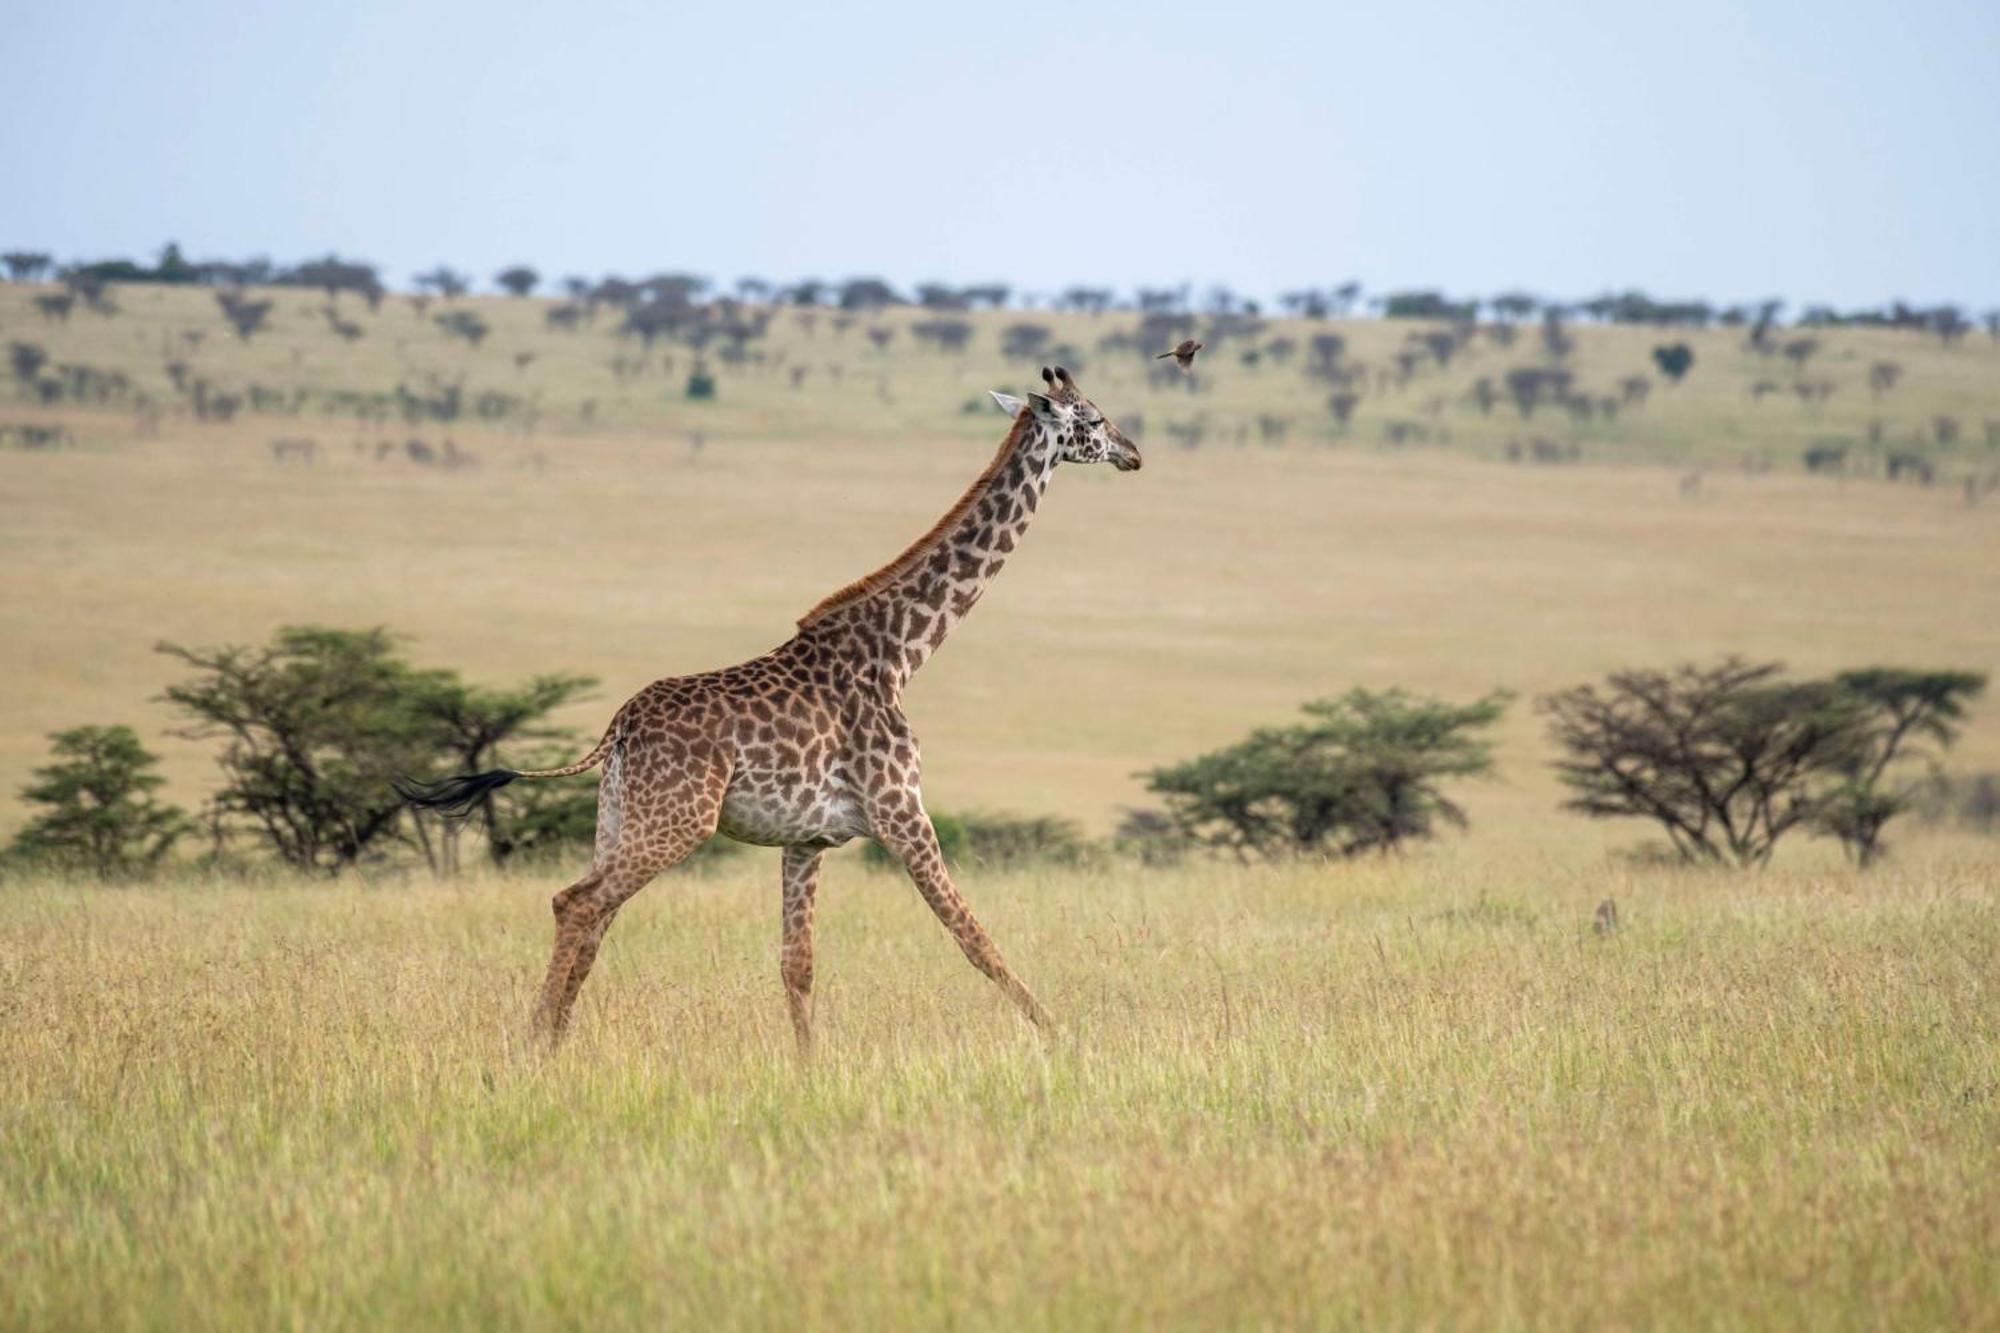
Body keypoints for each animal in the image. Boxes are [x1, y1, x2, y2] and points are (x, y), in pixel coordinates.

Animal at [402, 364, 1144, 1048]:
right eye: (1092, 418)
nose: (1134, 452)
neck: (901, 652)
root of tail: (616, 729)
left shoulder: (806, 838)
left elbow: (798, 963)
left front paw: (808, 1067)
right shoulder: (904, 813)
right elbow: (975, 937)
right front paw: (1062, 1036)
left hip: (616, 818)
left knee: (594, 916)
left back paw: (553, 1038)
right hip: (678, 820)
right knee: (576, 902)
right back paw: (536, 1042)